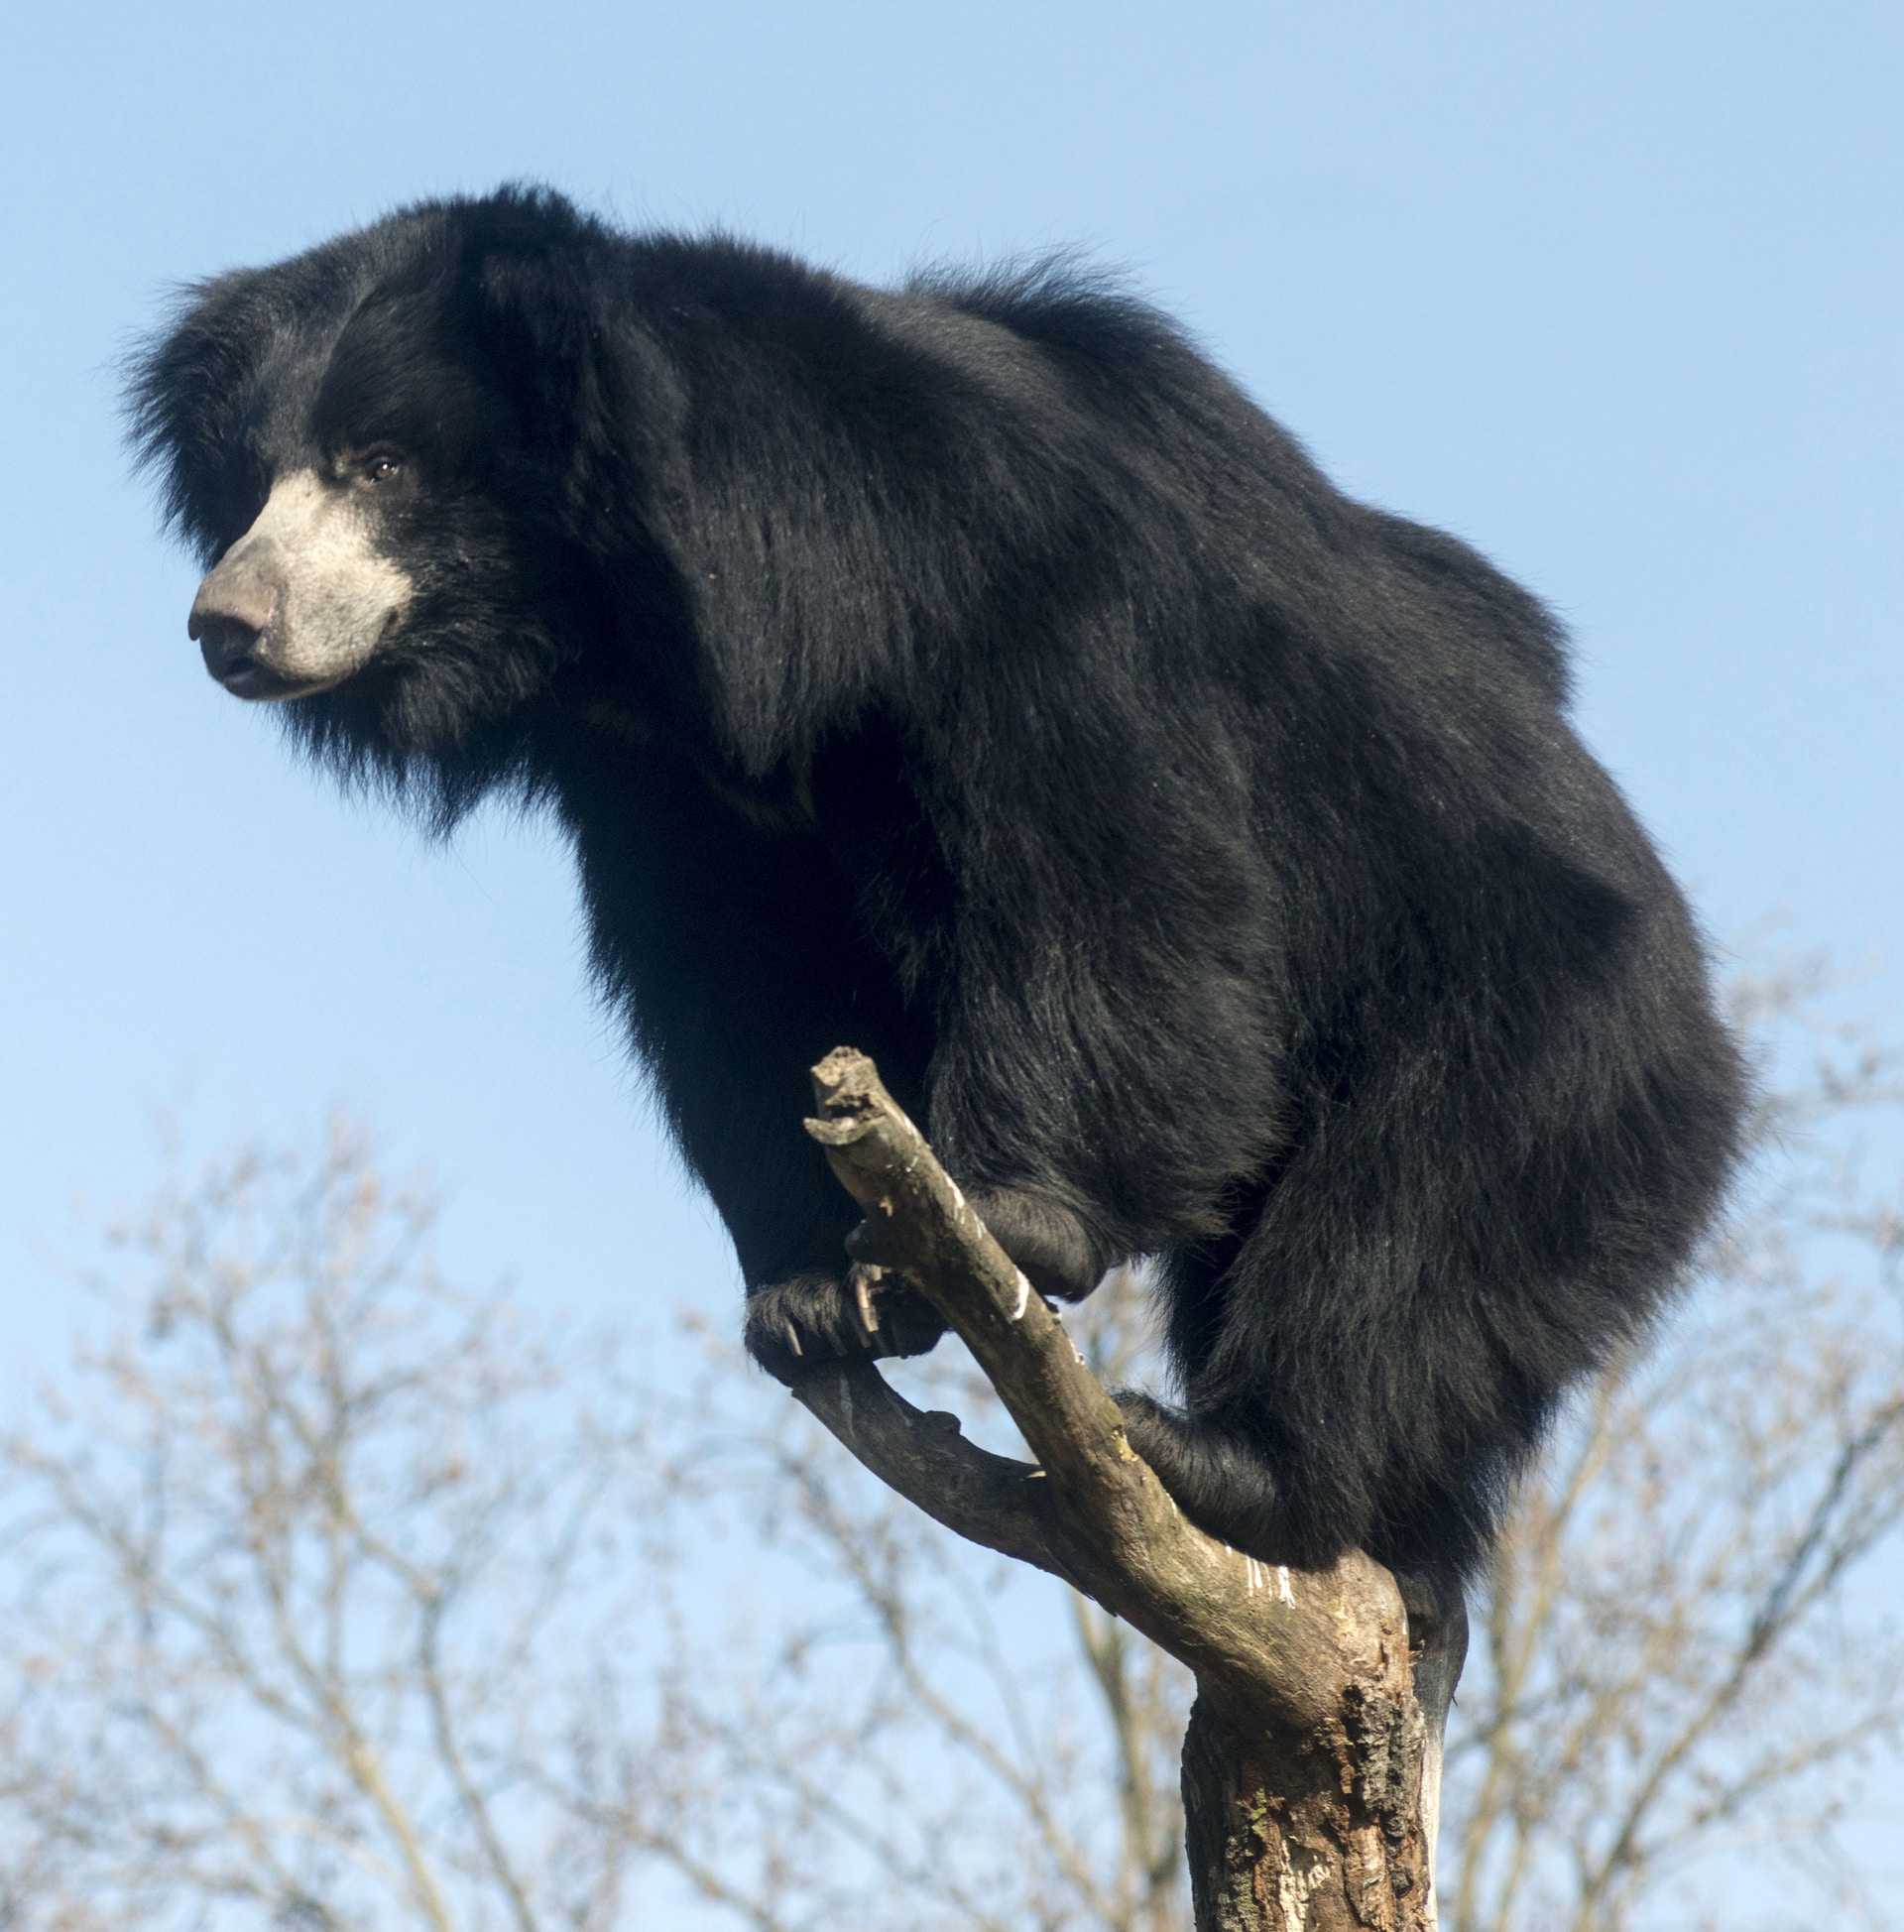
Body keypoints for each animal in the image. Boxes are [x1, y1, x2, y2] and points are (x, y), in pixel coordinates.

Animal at [129, 185, 1746, 1588]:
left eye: (383, 461)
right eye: (254, 477)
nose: (226, 623)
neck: (656, 627)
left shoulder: (1024, 591)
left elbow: (1116, 879)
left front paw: (1010, 1215)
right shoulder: (674, 791)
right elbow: (732, 979)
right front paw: (803, 1293)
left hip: (1540, 1027)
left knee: (1412, 1233)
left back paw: (1240, 1462)